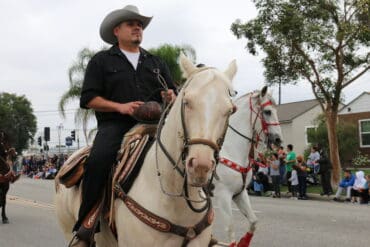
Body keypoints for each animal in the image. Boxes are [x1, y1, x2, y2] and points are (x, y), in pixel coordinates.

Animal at [212, 88, 282, 246]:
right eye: (267, 111)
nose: (278, 139)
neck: (231, 150)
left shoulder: (240, 193)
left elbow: (254, 221)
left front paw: (244, 241)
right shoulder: (223, 195)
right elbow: (230, 229)